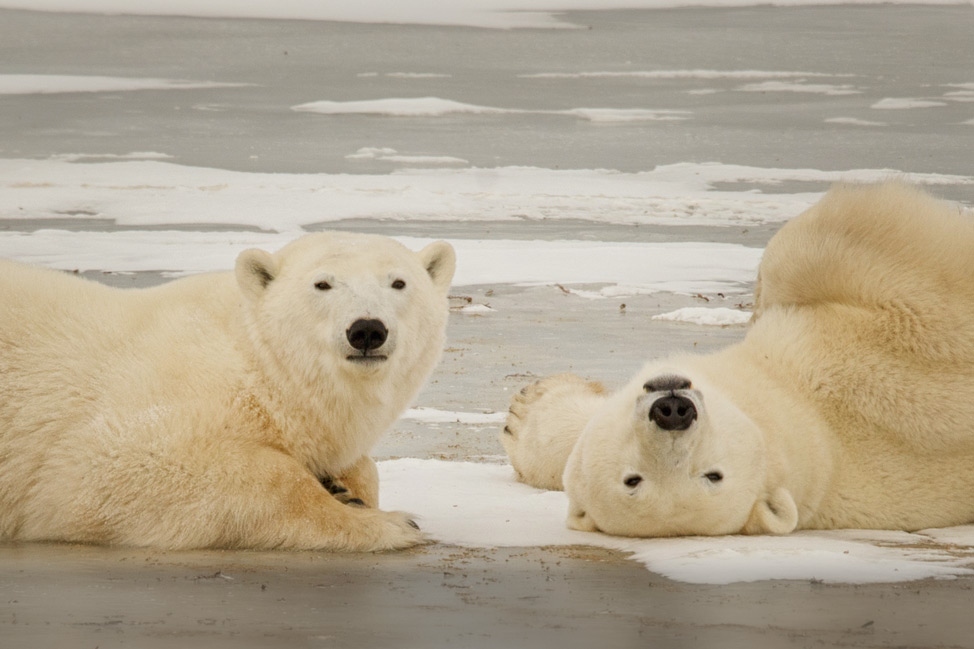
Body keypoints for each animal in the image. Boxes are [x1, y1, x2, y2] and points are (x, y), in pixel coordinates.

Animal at [0, 230, 458, 548]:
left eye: (398, 283)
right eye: (322, 284)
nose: (366, 330)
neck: (258, 365)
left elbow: (361, 467)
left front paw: (345, 488)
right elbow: (110, 469)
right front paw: (392, 523)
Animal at [508, 182, 974, 536]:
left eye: (712, 475)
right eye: (633, 479)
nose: (673, 410)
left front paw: (522, 411)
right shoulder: (895, 364)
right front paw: (522, 413)